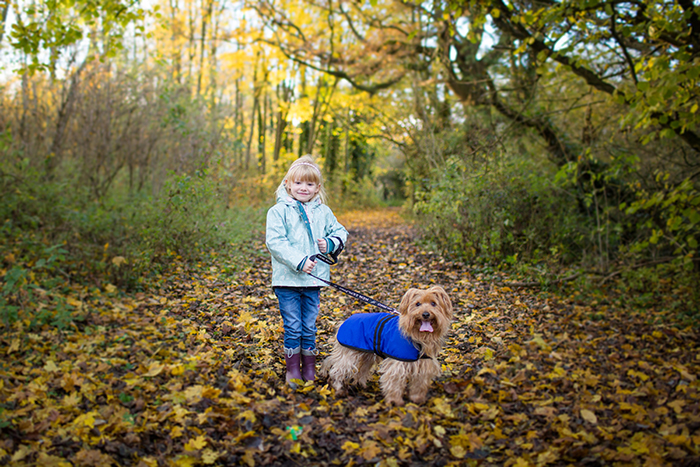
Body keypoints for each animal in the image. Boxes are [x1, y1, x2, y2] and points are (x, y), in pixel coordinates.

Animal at [322, 288, 454, 404]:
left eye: (433, 303)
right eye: (417, 304)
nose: (425, 314)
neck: (419, 337)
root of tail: (344, 321)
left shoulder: (423, 365)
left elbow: (419, 384)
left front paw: (417, 399)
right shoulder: (397, 365)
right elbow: (394, 383)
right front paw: (395, 402)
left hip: (367, 355)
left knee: (362, 370)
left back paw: (361, 385)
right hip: (348, 353)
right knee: (338, 370)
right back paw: (338, 388)